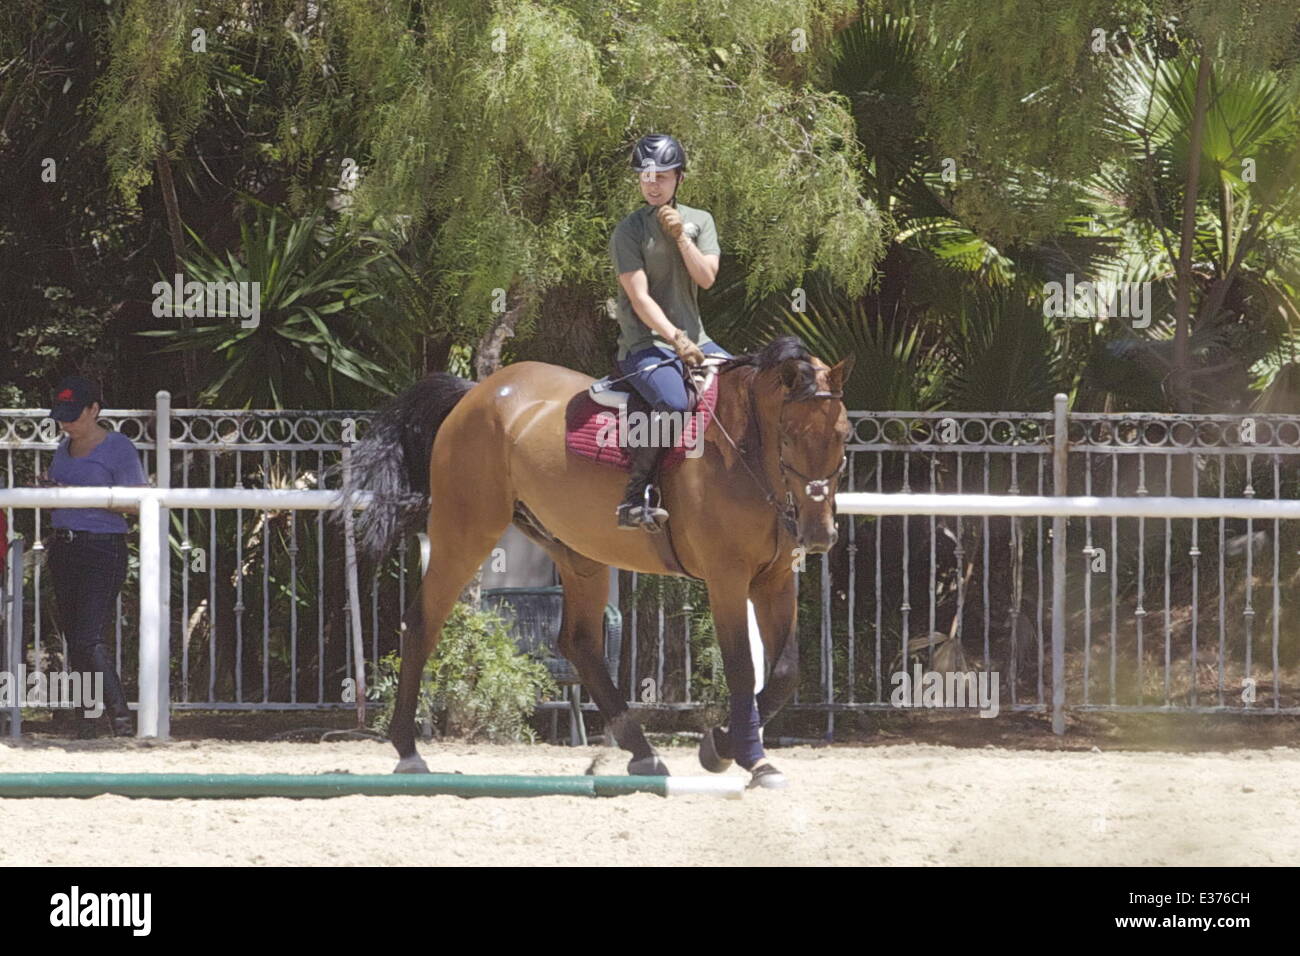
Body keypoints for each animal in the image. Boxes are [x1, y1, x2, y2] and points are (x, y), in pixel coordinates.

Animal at [339, 336, 854, 788]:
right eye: (790, 435)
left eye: (843, 434)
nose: (819, 535)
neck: (742, 453)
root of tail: (476, 393)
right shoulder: (727, 578)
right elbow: (744, 669)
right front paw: (744, 756)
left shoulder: (775, 579)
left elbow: (784, 674)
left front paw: (724, 745)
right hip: (466, 533)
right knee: (422, 623)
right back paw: (408, 751)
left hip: (575, 550)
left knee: (579, 642)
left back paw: (641, 751)